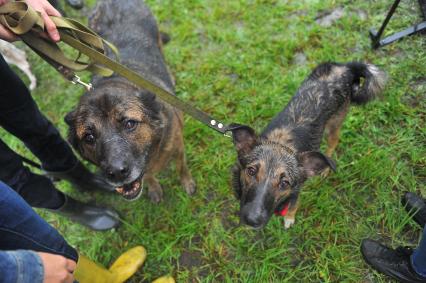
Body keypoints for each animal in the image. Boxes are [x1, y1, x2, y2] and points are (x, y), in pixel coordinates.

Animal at [64, 0, 195, 204]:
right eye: (89, 137)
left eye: (130, 123)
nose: (116, 173)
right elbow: (148, 176)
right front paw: (154, 188)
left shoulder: (179, 146)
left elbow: (182, 166)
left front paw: (187, 183)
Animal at [231, 62, 388, 231]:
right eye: (251, 171)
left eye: (284, 183)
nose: (252, 220)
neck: (281, 142)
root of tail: (347, 67)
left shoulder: (296, 193)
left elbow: (293, 207)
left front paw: (289, 219)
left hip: (334, 124)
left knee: (333, 144)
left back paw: (325, 169)